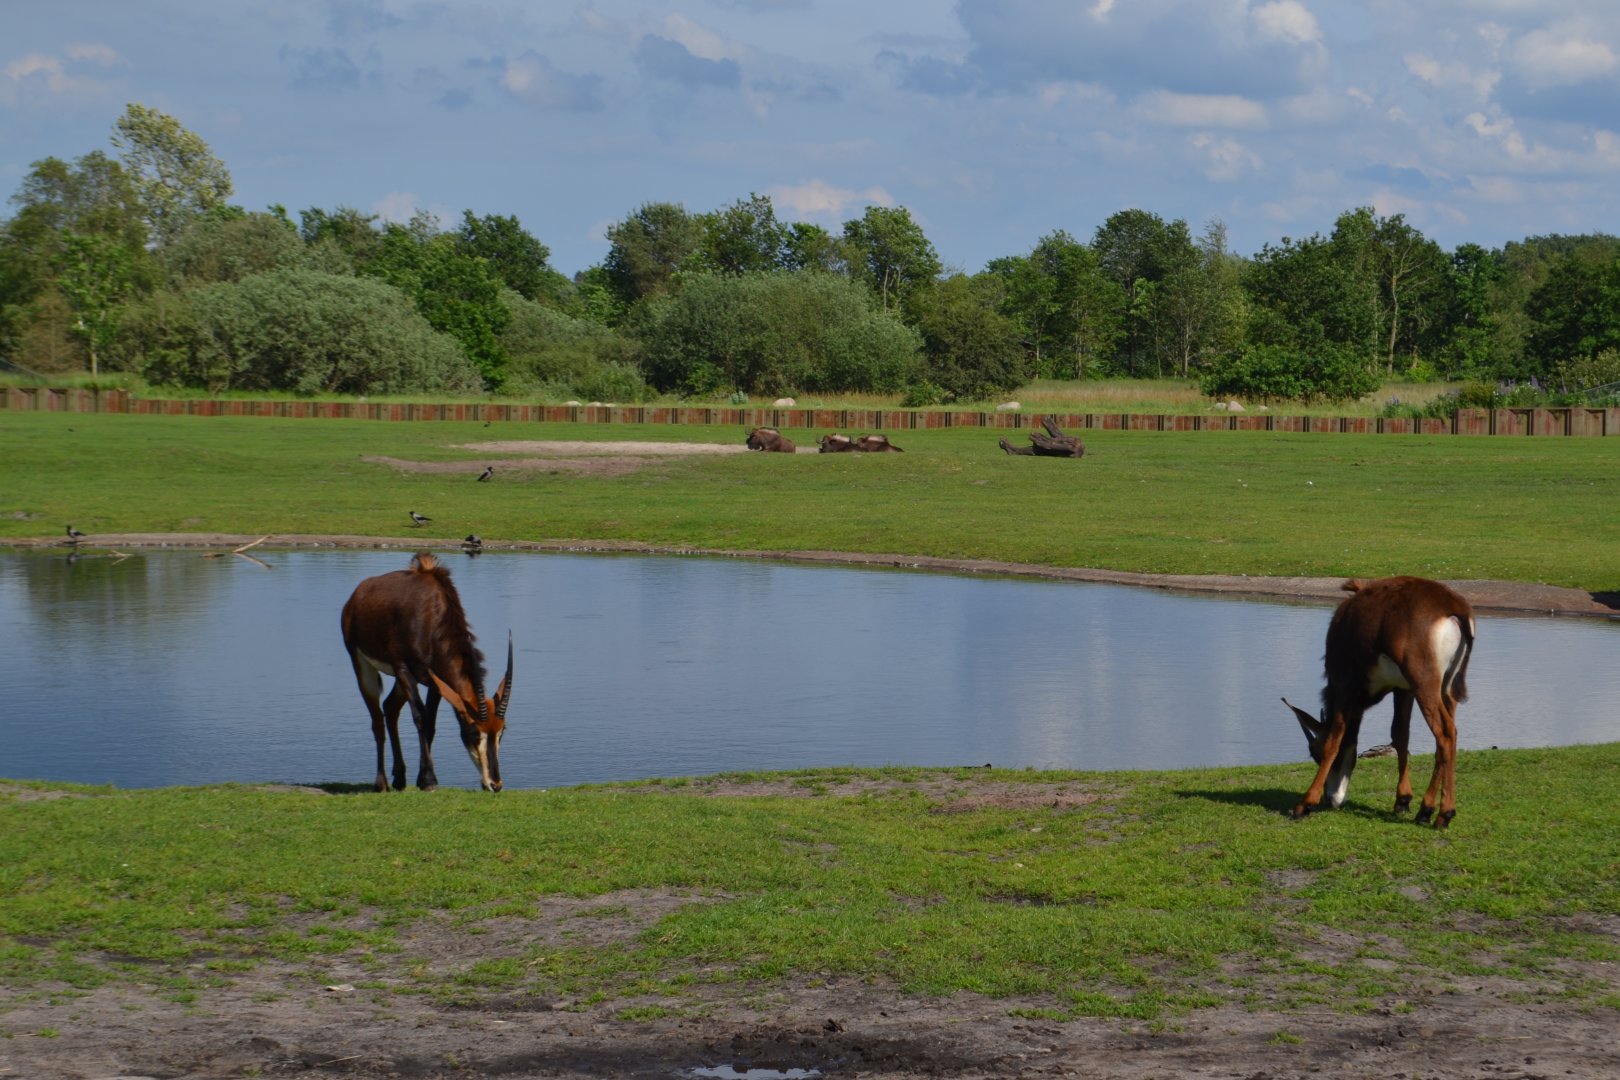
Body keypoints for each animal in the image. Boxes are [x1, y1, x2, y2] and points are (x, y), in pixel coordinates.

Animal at [340, 552, 512, 792]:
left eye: (501, 732)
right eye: (474, 731)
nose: (495, 784)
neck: (431, 617)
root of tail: (356, 596)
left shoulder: (435, 680)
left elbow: (430, 723)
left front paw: (423, 779)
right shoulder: (404, 668)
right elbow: (421, 718)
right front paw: (429, 781)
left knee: (390, 708)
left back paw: (399, 778)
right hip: (364, 665)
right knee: (377, 720)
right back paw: (381, 782)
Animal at [1282, 576, 1475, 828]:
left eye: (1315, 752)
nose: (1332, 799)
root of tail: (1453, 607)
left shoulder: (1345, 685)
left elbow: (1335, 738)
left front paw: (1304, 804)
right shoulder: (1403, 689)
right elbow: (1400, 735)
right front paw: (1402, 800)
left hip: (1425, 685)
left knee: (1444, 734)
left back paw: (1443, 814)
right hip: (1445, 689)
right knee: (1447, 737)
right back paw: (1426, 811)